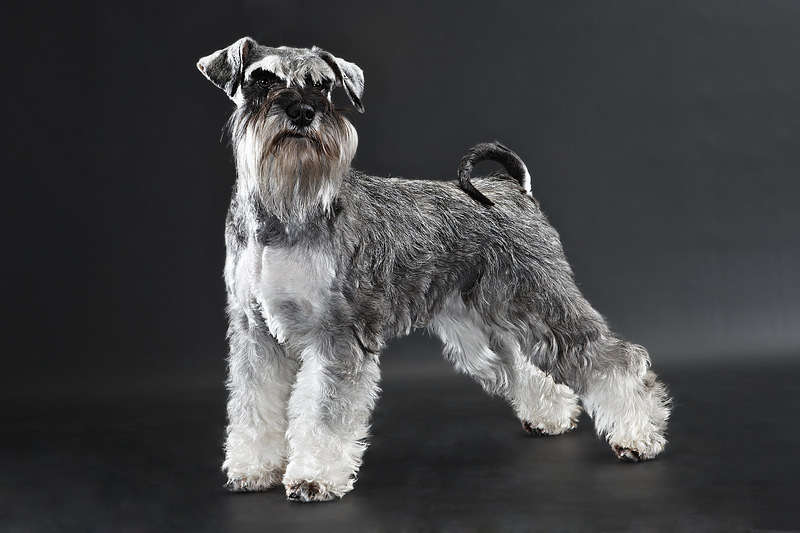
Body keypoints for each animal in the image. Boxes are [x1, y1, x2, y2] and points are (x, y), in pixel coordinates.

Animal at [198, 37, 668, 502]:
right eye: (262, 79)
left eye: (323, 85)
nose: (302, 112)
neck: (285, 210)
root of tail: (513, 190)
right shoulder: (255, 332)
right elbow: (253, 405)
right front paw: (254, 468)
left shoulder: (336, 334)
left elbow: (322, 412)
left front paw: (314, 477)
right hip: (480, 332)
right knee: (520, 363)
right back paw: (552, 416)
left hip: (540, 303)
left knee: (614, 359)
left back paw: (639, 435)